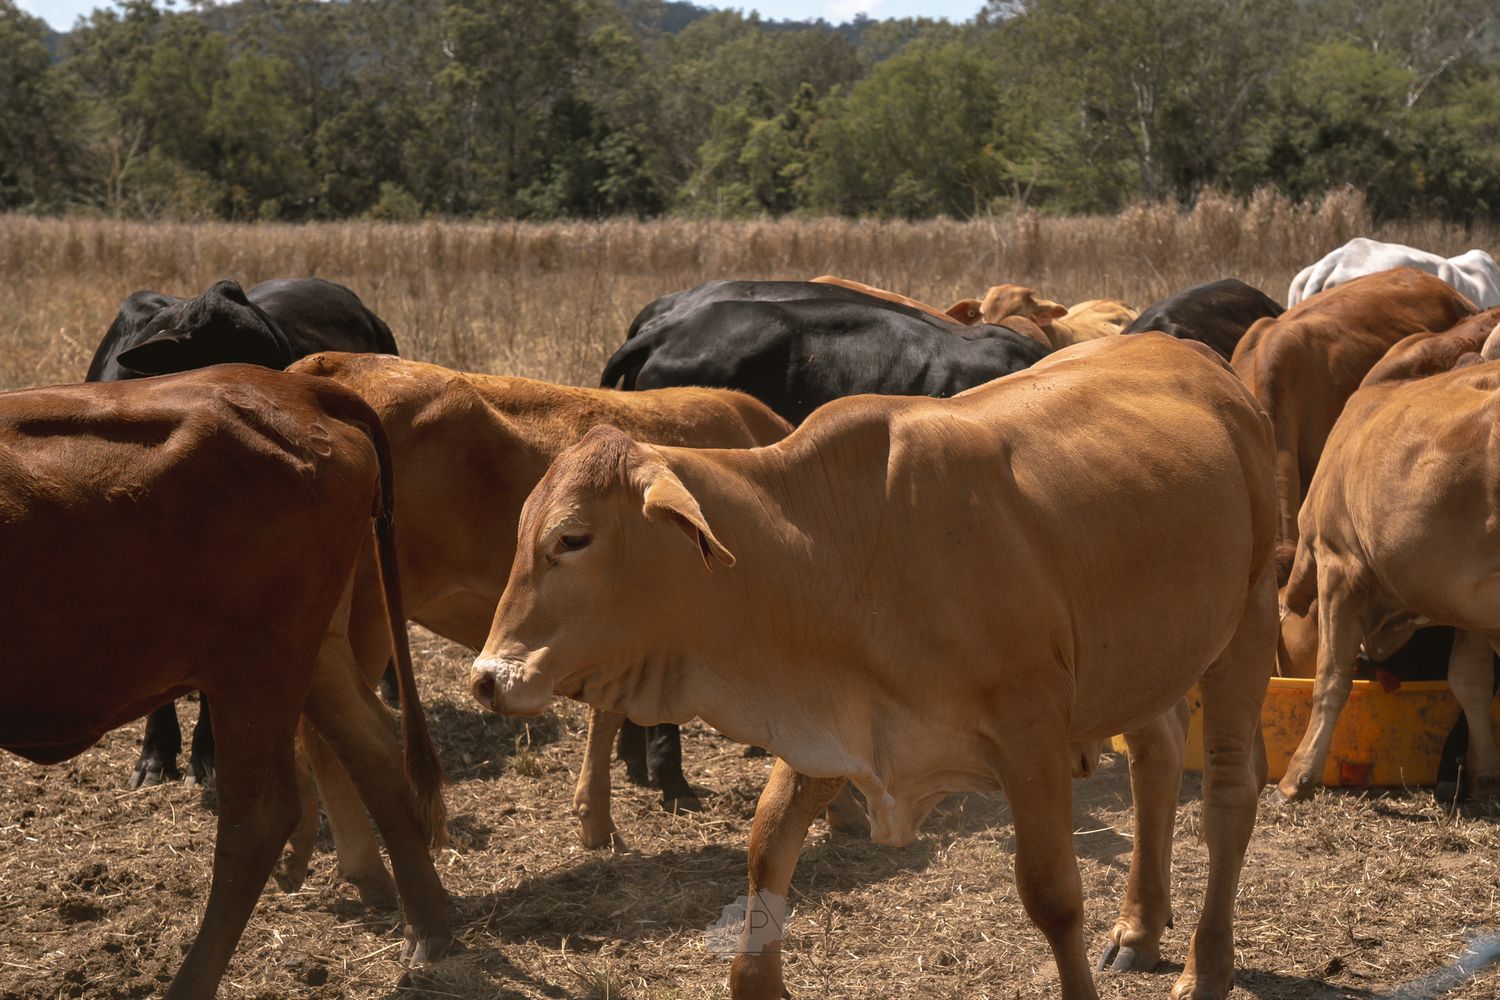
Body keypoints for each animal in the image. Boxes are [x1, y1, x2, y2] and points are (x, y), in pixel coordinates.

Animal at [0, 366, 450, 998]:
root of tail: (298, 393)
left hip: (256, 666)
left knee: (257, 819)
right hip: (313, 650)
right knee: (376, 750)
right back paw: (429, 930)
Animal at [275, 353, 845, 869]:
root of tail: (326, 371)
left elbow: (608, 713)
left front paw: (596, 817)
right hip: (365, 622)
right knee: (332, 740)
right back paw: (365, 868)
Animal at [473, 334, 1278, 1000]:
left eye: (573, 538)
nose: (486, 676)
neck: (843, 548)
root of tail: (1203, 361)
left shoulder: (1032, 736)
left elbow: (1052, 896)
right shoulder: (829, 726)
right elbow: (767, 846)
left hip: (1246, 626)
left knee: (1229, 795)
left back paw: (1209, 966)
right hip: (1144, 660)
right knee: (1157, 757)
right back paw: (1140, 928)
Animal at [1276, 351, 1500, 803]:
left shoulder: (1339, 567)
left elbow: (1330, 680)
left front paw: (1298, 775)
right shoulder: (1468, 604)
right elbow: (1470, 680)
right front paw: (1483, 774)